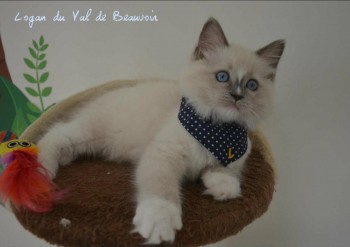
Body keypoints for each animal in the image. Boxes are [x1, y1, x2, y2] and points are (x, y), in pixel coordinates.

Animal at [37, 17, 284, 243]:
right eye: (222, 77)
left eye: (252, 85)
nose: (237, 96)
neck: (216, 129)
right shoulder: (163, 155)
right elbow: (160, 192)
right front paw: (160, 225)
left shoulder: (239, 154)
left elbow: (227, 173)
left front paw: (222, 187)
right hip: (91, 133)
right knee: (55, 134)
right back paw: (42, 171)